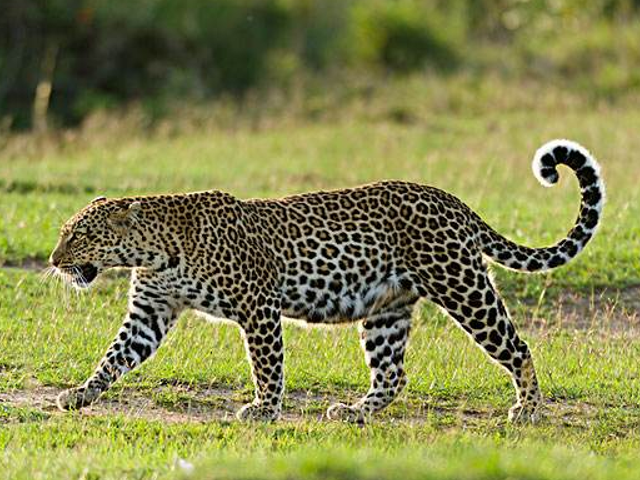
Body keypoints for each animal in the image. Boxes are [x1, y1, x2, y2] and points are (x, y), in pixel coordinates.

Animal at [51, 140, 604, 424]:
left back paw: (527, 410)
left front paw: (264, 409)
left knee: (518, 347)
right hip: (386, 311)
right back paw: (355, 411)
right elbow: (115, 356)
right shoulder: (151, 311)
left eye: (79, 234)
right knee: (393, 374)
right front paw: (80, 394)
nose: (55, 260)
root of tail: (454, 202)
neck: (156, 250)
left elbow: (268, 365)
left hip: (463, 287)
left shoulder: (258, 306)